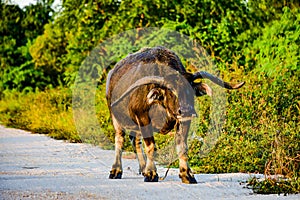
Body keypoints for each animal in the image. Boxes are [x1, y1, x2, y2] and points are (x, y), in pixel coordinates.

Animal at [105, 46, 244, 184]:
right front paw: (151, 174)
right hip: (116, 118)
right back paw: (116, 171)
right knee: (120, 140)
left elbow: (182, 146)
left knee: (136, 141)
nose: (186, 109)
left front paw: (187, 174)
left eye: (190, 88)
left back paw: (143, 168)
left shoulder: (183, 120)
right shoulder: (143, 118)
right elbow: (150, 146)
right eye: (171, 90)